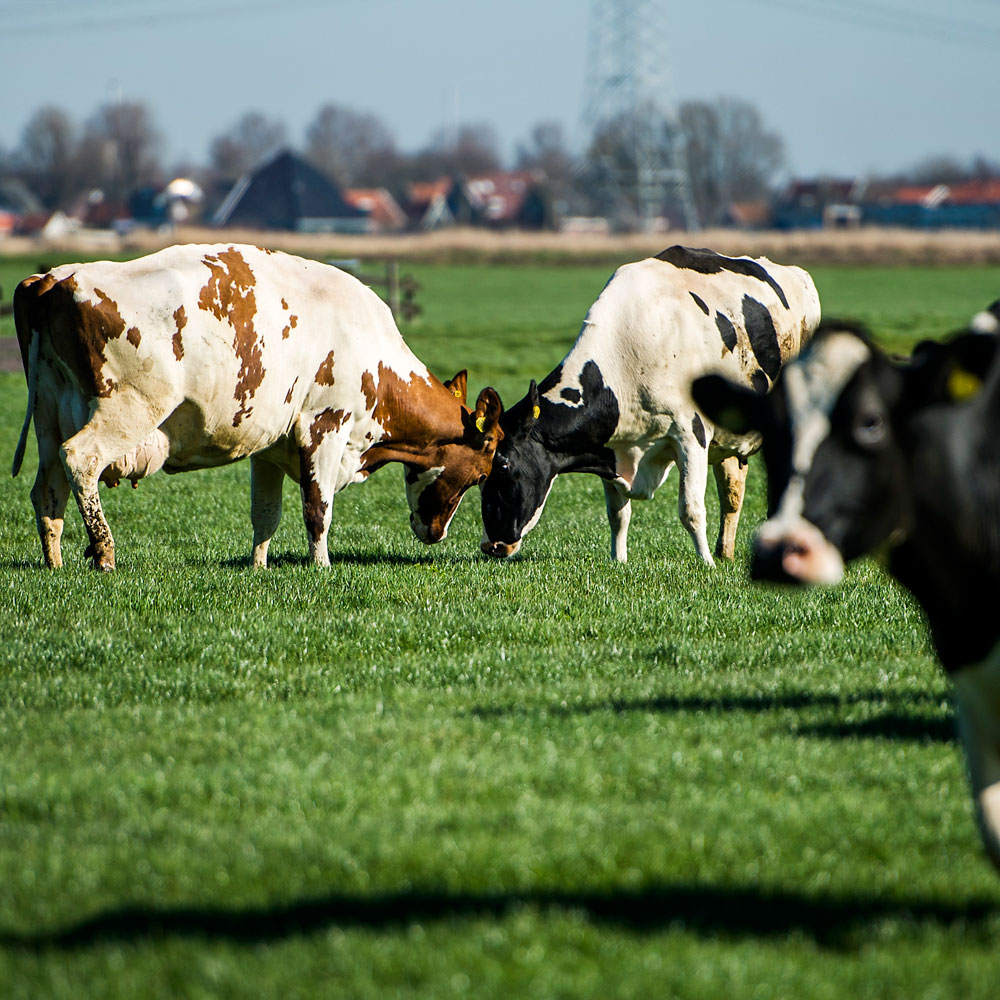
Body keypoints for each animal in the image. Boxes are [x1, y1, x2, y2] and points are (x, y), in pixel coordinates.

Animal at [11, 243, 504, 572]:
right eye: (482, 474)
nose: (436, 532)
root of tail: (58, 276)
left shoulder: (269, 446)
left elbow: (265, 514)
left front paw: (258, 567)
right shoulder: (325, 428)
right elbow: (317, 510)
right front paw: (322, 568)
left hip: (49, 418)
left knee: (47, 488)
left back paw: (54, 562)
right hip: (127, 411)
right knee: (81, 460)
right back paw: (104, 554)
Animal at [478, 245, 820, 564]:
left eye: (503, 464)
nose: (490, 546)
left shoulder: (691, 433)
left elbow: (691, 509)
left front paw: (706, 564)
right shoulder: (611, 448)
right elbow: (618, 514)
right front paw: (619, 559)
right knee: (732, 492)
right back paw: (726, 552)